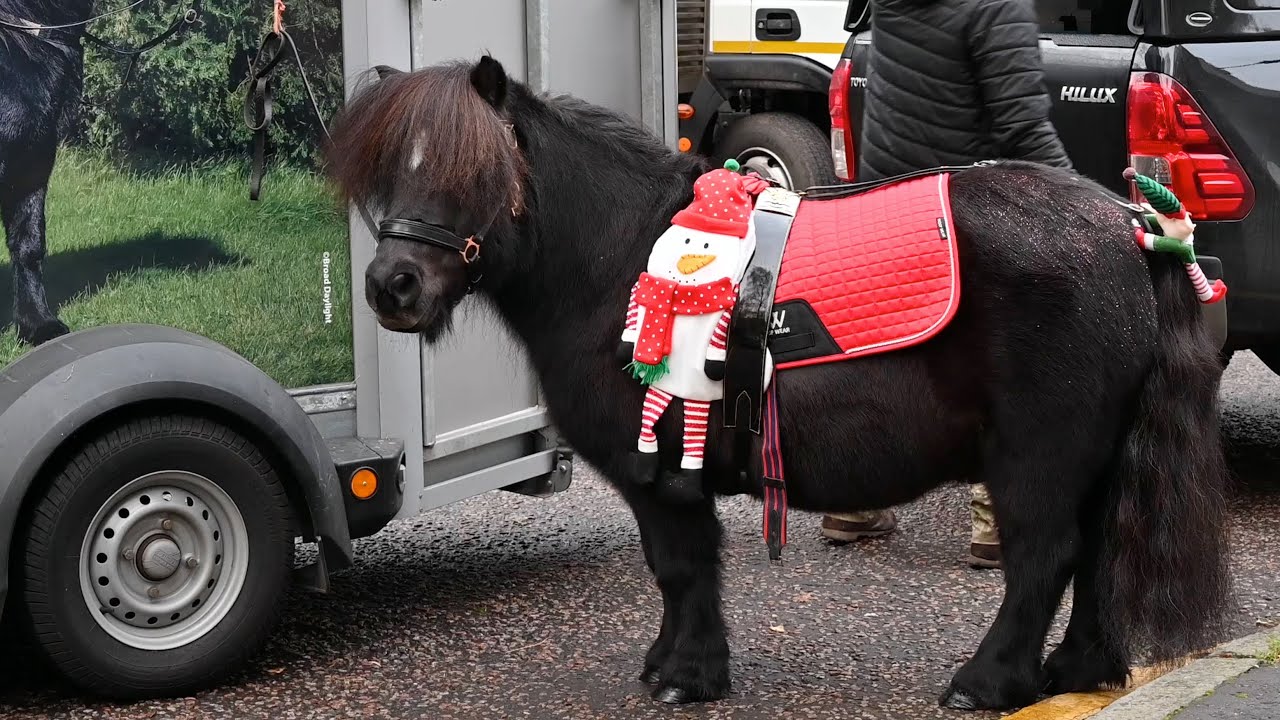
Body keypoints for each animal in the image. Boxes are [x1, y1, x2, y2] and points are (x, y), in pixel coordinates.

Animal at [322, 56, 1233, 711]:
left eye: (473, 172)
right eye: (391, 173)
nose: (392, 287)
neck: (616, 259)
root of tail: (1128, 228)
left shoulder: (664, 475)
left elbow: (682, 566)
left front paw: (689, 676)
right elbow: (674, 573)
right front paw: (668, 663)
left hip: (1038, 454)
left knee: (1046, 556)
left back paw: (989, 682)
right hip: (1095, 453)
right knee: (1099, 551)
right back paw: (1077, 670)